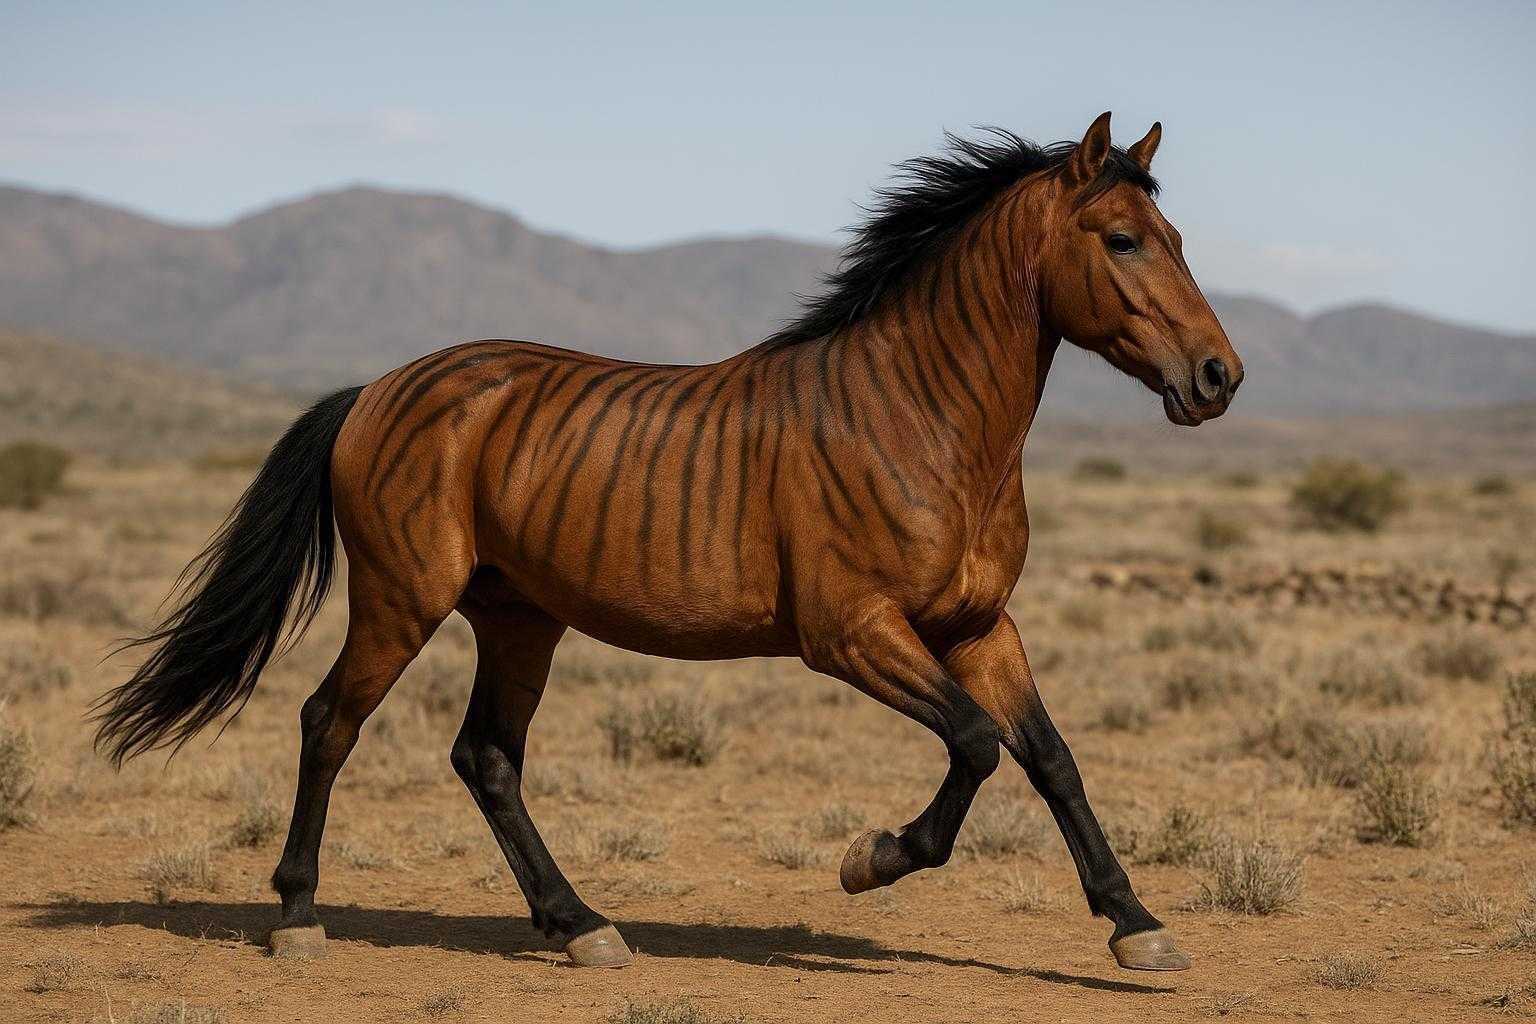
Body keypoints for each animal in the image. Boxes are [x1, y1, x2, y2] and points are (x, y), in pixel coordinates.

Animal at [94, 112, 1243, 973]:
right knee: (329, 722)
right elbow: (973, 743)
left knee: (486, 758)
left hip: (519, 617)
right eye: (1123, 240)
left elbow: (1050, 758)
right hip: (401, 599)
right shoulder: (852, 633)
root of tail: (375, 391)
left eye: (1181, 239)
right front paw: (872, 858)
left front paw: (1137, 925)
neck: (921, 418)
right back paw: (298, 917)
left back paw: (580, 926)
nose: (1219, 378)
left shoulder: (976, 626)